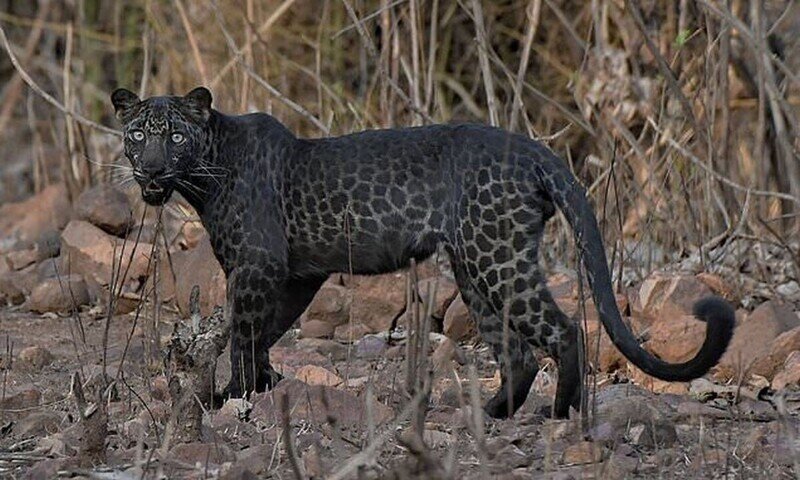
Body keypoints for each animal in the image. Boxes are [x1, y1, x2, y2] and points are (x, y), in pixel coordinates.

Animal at [109, 88, 736, 418]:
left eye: (175, 135)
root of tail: (535, 149)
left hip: (496, 259)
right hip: (475, 267)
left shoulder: (258, 266)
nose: (152, 169)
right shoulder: (296, 273)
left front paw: (233, 396)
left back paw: (560, 414)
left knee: (563, 331)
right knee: (517, 351)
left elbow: (242, 331)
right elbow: (264, 331)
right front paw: (259, 387)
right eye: (138, 134)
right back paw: (488, 415)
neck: (204, 175)